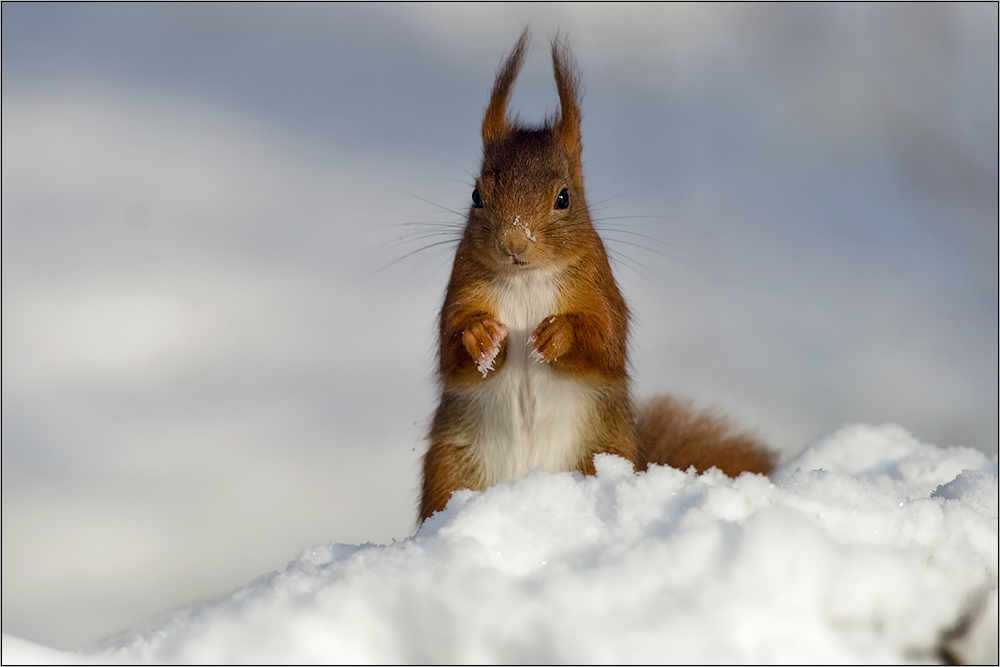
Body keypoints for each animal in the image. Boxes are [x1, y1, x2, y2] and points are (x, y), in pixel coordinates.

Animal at [416, 31, 772, 520]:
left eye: (564, 197)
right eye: (475, 195)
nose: (514, 244)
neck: (527, 279)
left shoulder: (599, 291)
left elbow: (603, 342)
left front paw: (556, 335)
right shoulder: (462, 287)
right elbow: (452, 349)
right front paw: (481, 336)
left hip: (602, 451)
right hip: (450, 470)